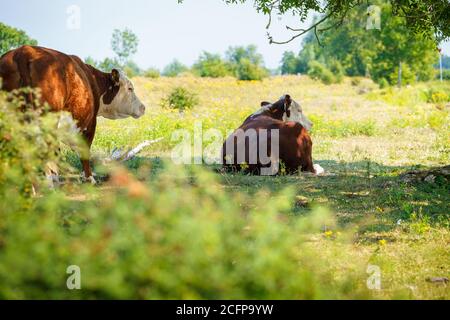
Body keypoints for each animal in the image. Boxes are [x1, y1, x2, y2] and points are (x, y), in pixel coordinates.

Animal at [0, 44, 145, 182]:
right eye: (130, 88)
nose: (143, 107)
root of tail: (24, 51)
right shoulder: (90, 123)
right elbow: (84, 152)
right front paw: (89, 178)